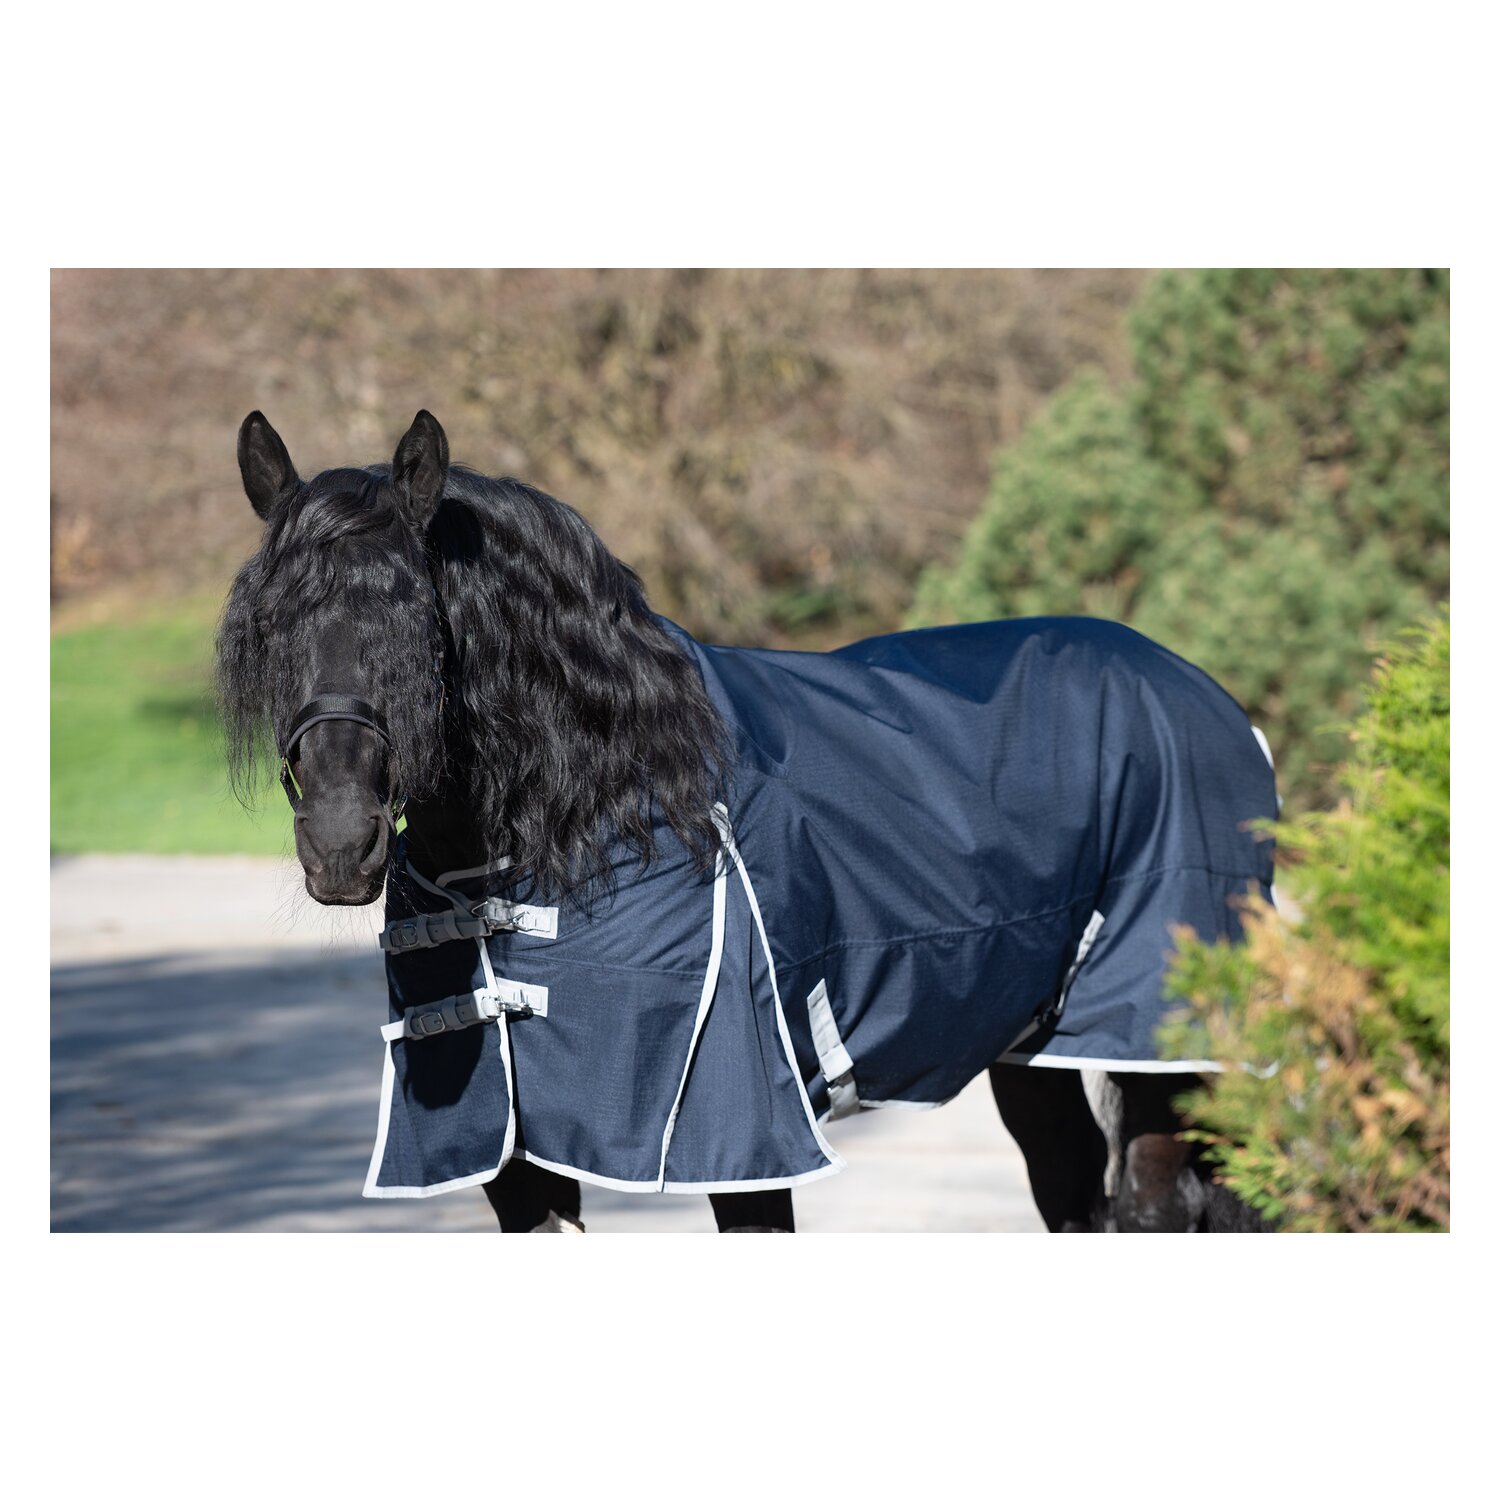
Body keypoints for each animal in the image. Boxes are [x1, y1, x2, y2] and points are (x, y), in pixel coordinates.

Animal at [218, 409, 1277, 1233]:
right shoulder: (512, 1165)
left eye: (419, 622)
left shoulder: (736, 1137)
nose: (341, 843)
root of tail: (1208, 696)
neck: (607, 797)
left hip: (1160, 1044)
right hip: (1029, 1047)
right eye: (269, 624)